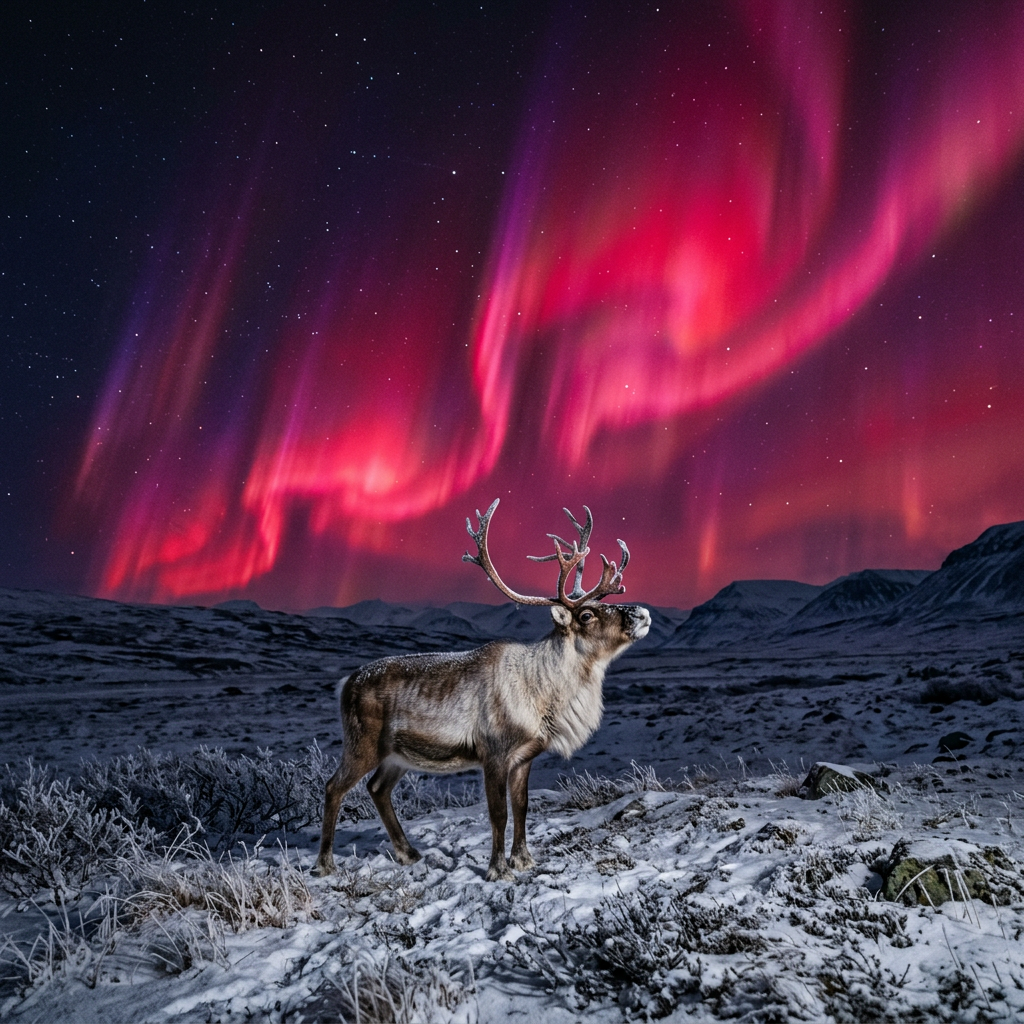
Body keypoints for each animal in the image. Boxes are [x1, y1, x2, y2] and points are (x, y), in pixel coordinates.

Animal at [313, 498, 651, 881]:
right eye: (587, 615)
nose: (642, 613)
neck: (543, 691)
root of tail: (345, 683)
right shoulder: (493, 754)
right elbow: (498, 813)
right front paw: (497, 869)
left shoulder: (524, 757)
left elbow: (521, 808)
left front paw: (524, 860)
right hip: (362, 744)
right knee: (333, 787)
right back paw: (325, 864)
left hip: (397, 755)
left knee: (377, 788)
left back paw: (408, 853)